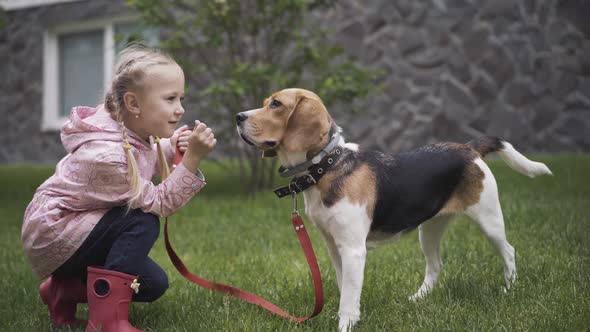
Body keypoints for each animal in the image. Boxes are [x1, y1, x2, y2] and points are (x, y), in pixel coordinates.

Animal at [237, 87, 556, 330]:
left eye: (276, 104)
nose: (238, 117)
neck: (327, 166)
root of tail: (469, 148)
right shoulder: (334, 247)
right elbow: (345, 288)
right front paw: (349, 317)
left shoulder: (353, 250)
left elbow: (348, 297)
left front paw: (346, 324)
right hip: (429, 229)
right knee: (435, 265)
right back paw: (418, 299)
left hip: (489, 220)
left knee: (509, 251)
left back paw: (508, 289)